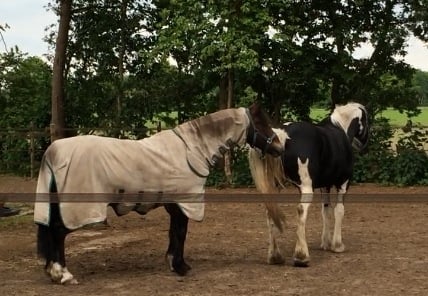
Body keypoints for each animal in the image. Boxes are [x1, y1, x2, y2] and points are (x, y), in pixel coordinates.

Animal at [35, 102, 282, 284]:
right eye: (261, 122)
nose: (280, 148)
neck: (190, 150)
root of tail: (53, 151)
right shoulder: (184, 204)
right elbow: (181, 232)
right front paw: (181, 266)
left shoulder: (175, 205)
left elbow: (174, 233)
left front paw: (173, 262)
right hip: (78, 208)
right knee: (58, 232)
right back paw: (63, 274)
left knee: (52, 230)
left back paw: (52, 272)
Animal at [249, 103, 370, 268]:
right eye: (367, 120)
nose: (364, 145)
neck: (340, 130)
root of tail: (282, 135)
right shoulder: (343, 183)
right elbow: (339, 210)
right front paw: (337, 245)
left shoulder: (325, 186)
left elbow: (326, 211)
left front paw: (326, 243)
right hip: (306, 189)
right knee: (301, 210)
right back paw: (301, 256)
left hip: (275, 187)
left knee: (270, 212)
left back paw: (275, 256)